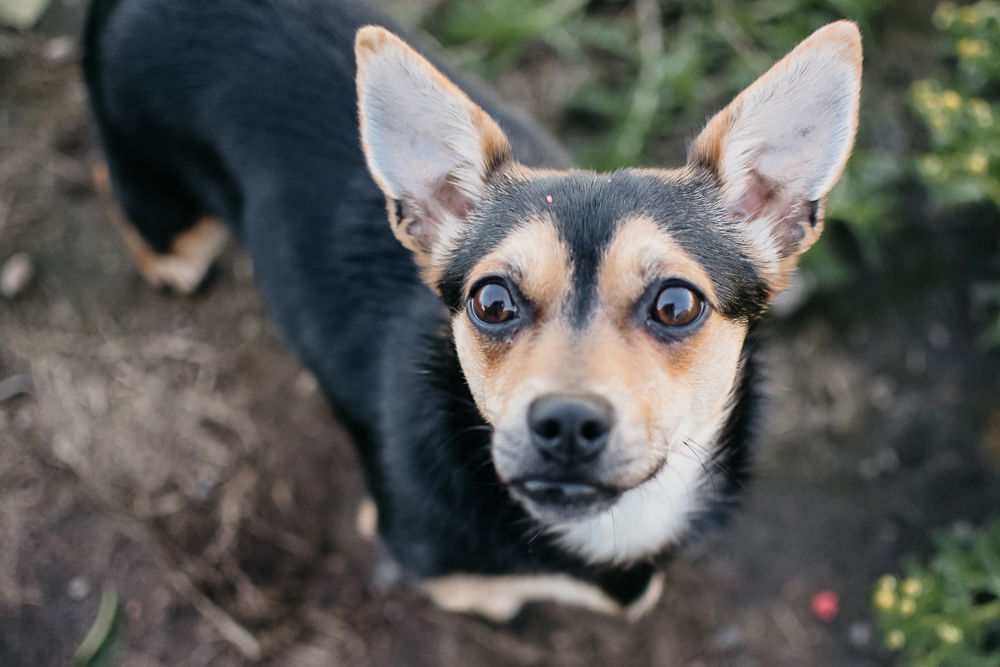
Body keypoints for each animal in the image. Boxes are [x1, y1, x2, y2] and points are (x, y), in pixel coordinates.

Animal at [84, 0, 860, 620]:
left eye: (676, 304)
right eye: (492, 301)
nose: (566, 423)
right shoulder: (427, 557)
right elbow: (493, 592)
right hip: (162, 206)